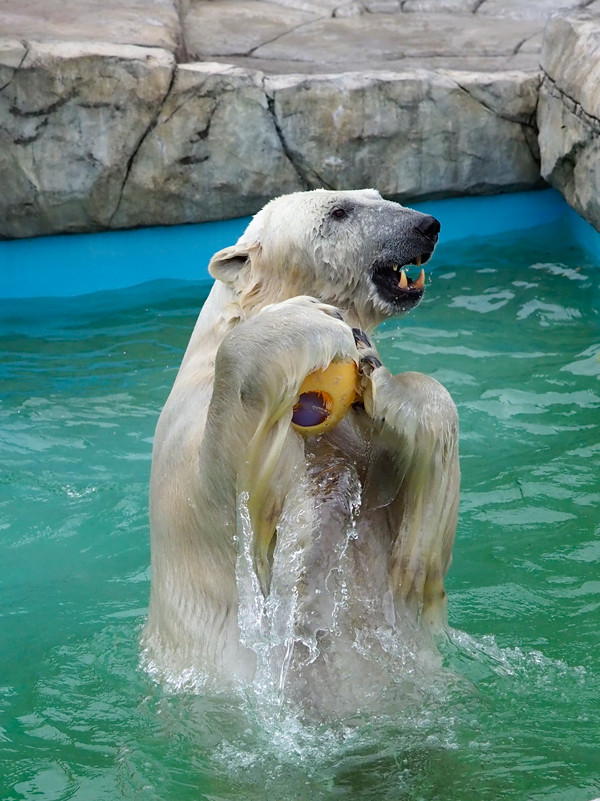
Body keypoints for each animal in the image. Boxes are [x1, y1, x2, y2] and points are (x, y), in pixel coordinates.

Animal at [143, 188, 462, 700]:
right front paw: (307, 319)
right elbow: (232, 492)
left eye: (375, 194)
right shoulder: (186, 443)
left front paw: (383, 380)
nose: (425, 225)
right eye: (339, 211)